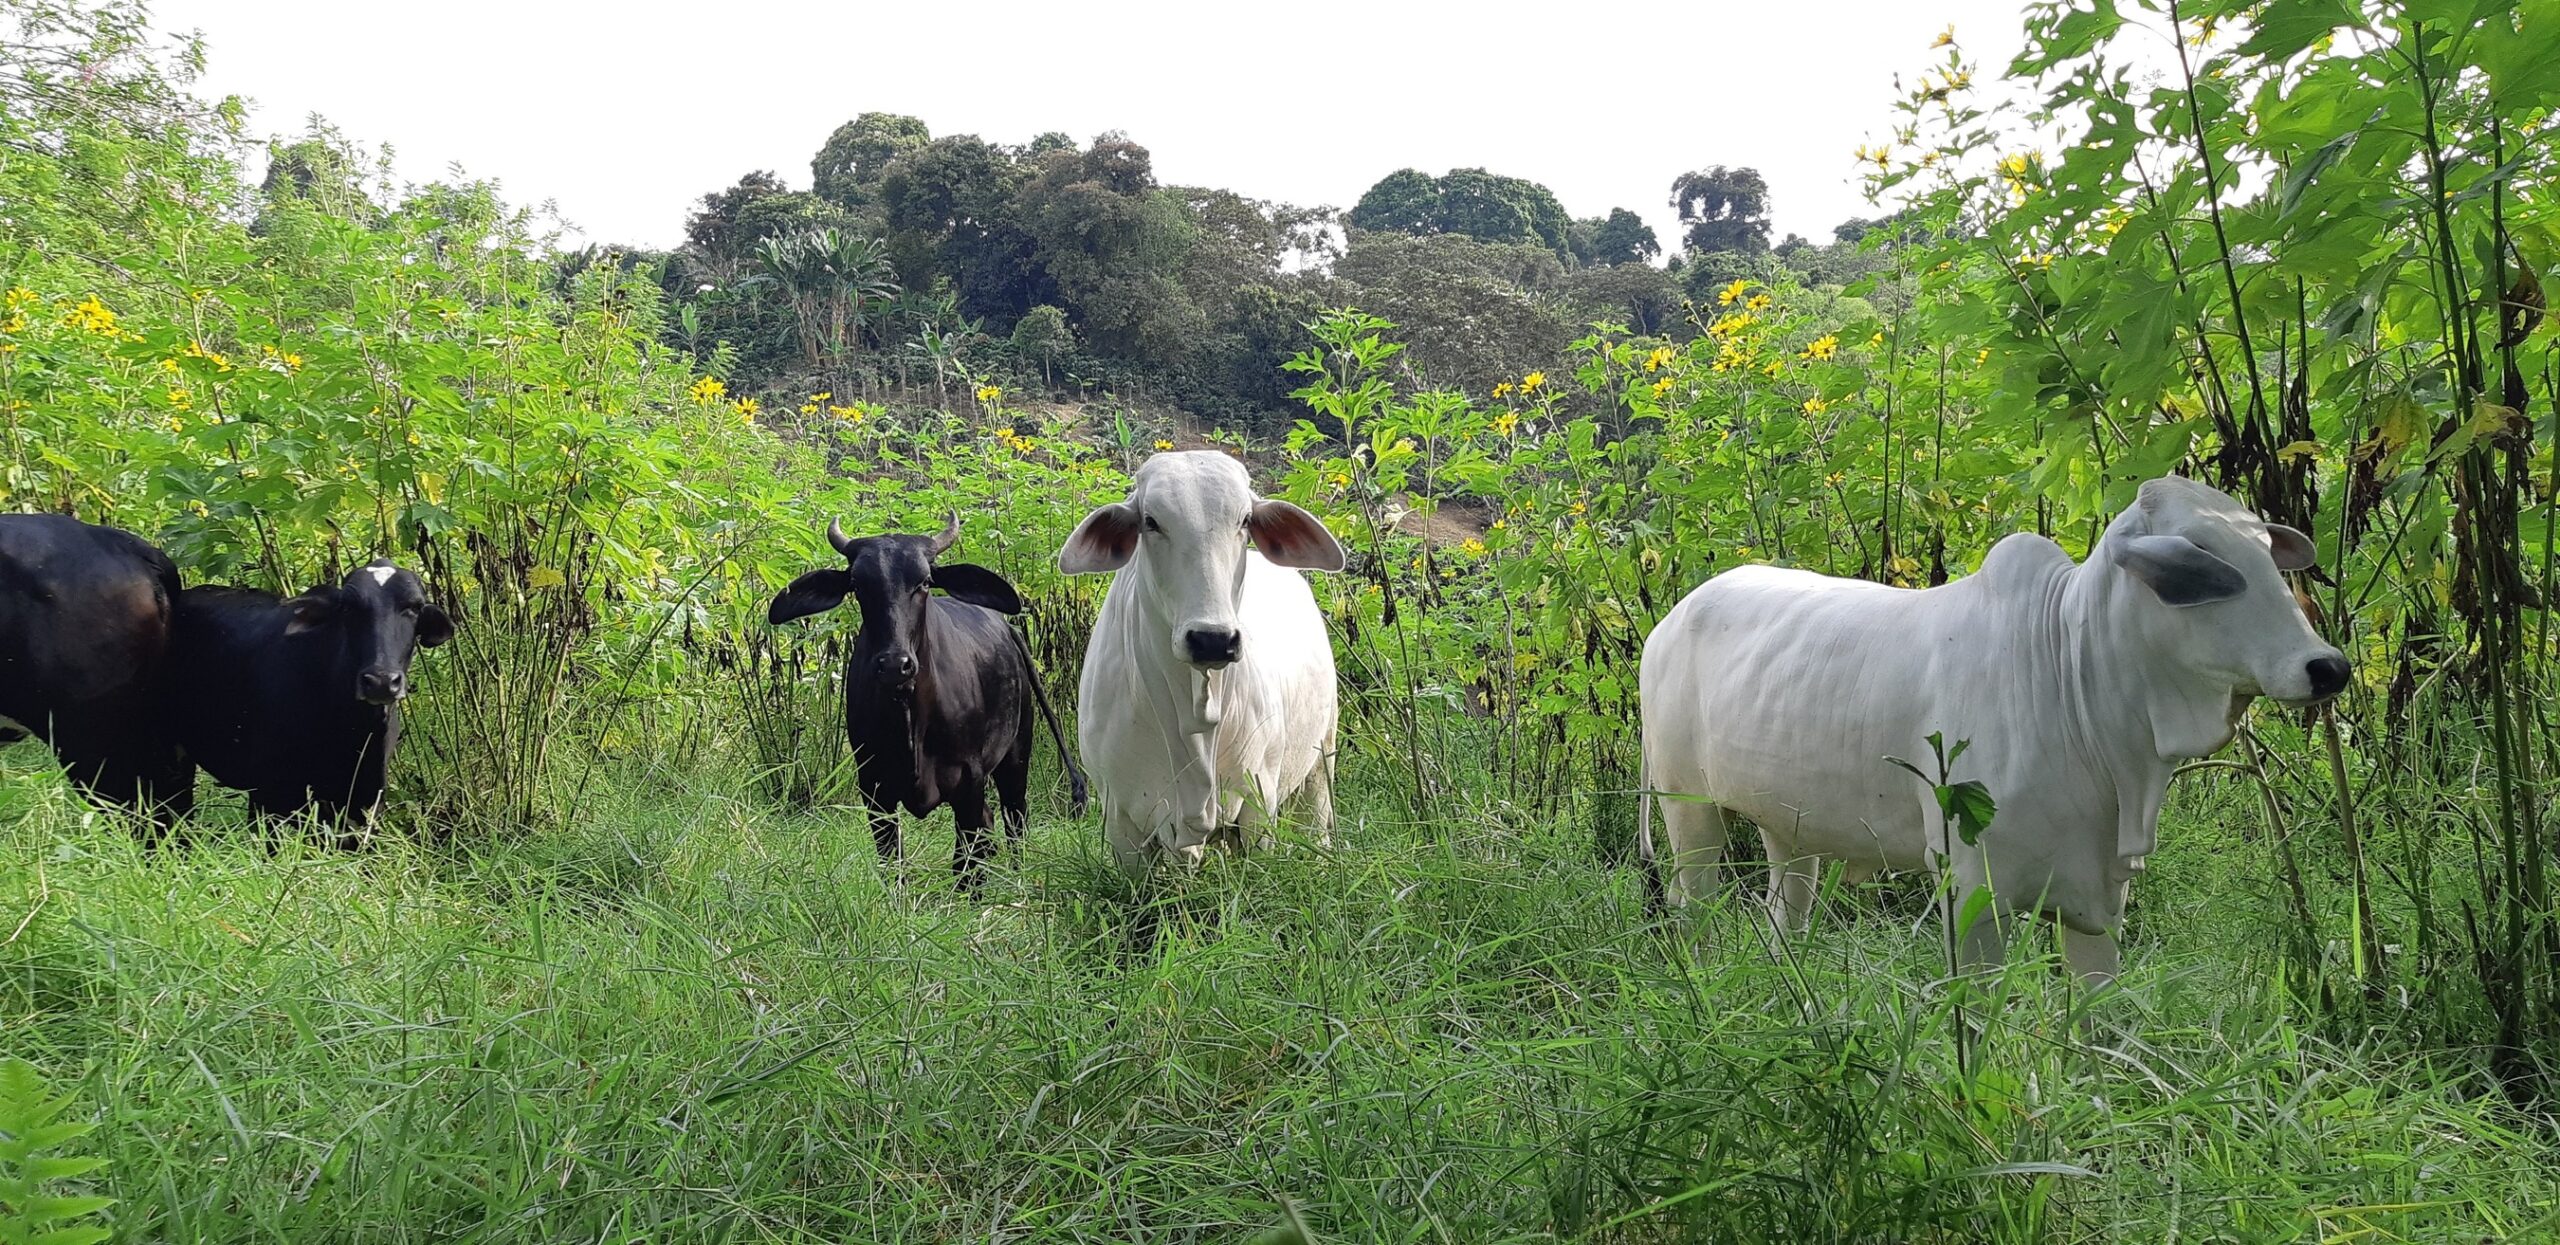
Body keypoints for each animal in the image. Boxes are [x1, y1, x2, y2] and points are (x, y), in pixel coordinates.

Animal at [757, 512, 1080, 886]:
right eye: (858, 584)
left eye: (924, 582)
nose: (895, 664)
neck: (911, 719)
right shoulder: (874, 788)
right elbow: (893, 864)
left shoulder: (969, 781)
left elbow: (966, 862)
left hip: (1016, 755)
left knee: (1013, 821)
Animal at [1054, 453, 1351, 870]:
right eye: (1150, 521)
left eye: (1245, 520)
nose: (1213, 640)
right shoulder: (1121, 821)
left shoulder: (1258, 807)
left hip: (1322, 760)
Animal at [1648, 479, 2344, 983]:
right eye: (2204, 568)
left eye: (2266, 555)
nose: (2328, 667)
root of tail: (1674, 617)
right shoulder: (1973, 892)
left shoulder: (2099, 899)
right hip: (1688, 811)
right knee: (1693, 908)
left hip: (1791, 830)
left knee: (1782, 916)